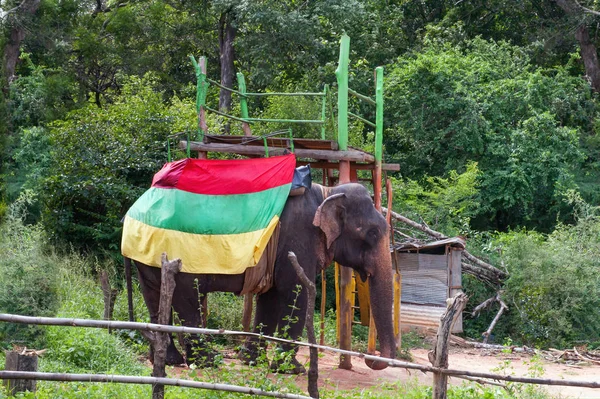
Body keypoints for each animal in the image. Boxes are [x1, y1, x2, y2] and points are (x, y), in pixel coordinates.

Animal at [129, 183, 396, 374]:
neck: (327, 192)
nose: (371, 359)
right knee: (188, 300)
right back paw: (209, 361)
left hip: (149, 262)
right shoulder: (298, 238)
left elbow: (271, 298)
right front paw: (292, 369)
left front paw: (251, 361)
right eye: (372, 233)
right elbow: (296, 292)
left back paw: (169, 360)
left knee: (155, 299)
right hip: (182, 259)